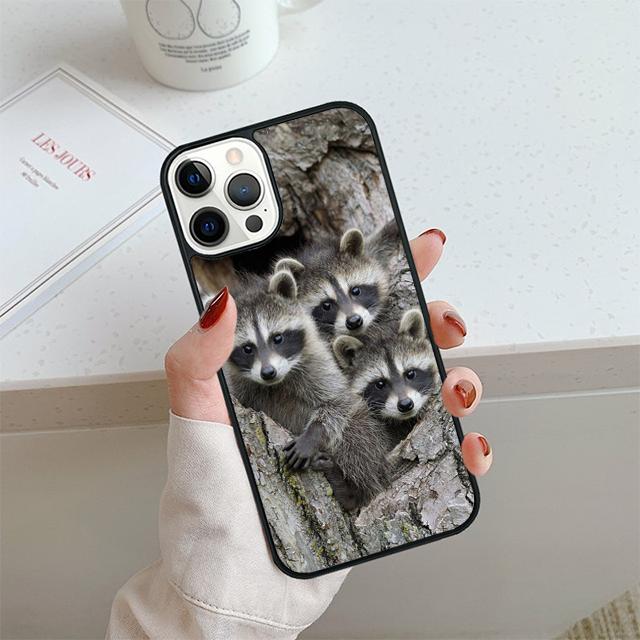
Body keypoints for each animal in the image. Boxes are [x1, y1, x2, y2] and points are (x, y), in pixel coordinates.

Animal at [226, 269, 390, 509]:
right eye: (248, 348)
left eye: (277, 338)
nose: (268, 372)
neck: (277, 382)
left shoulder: (318, 364)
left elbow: (338, 402)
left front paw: (312, 435)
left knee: (356, 437)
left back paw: (353, 491)